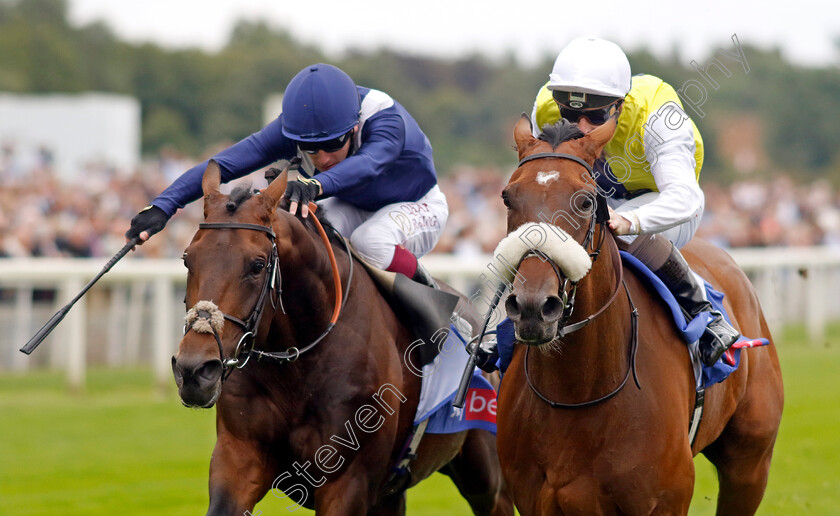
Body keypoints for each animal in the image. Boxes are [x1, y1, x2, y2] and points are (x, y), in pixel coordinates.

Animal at [171, 162, 512, 516]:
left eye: (257, 264)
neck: (297, 366)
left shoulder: (347, 481)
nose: (195, 371)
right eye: (187, 259)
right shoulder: (238, 457)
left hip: (487, 478)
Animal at [496, 117, 784, 516]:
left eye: (585, 201)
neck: (578, 391)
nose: (533, 306)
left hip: (750, 464)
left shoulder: (667, 501)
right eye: (508, 197)